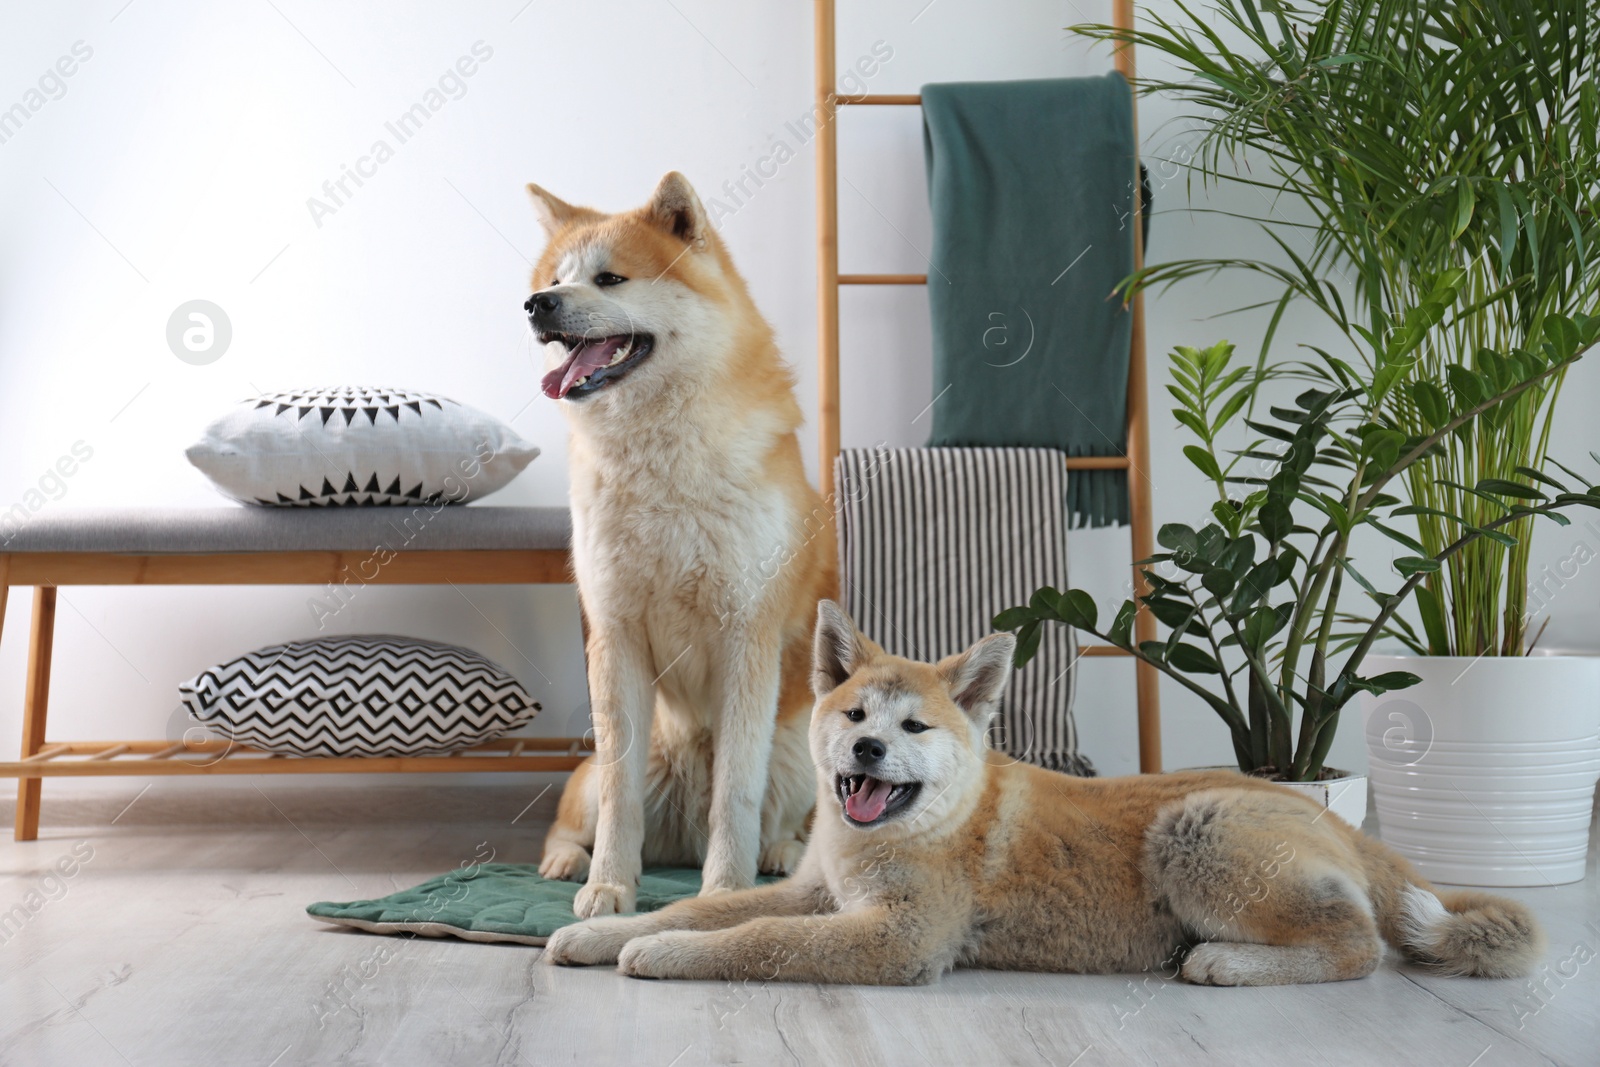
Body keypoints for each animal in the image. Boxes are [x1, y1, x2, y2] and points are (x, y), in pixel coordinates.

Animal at [544, 601, 1542, 985]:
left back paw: (1229, 961)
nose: (866, 744)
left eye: (914, 728)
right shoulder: (816, 892)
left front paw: (664, 954)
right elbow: (710, 908)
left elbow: (751, 941)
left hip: (1197, 831)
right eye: (856, 710)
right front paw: (608, 927)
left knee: (1357, 942)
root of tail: (1312, 803)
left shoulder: (897, 936)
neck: (911, 829)